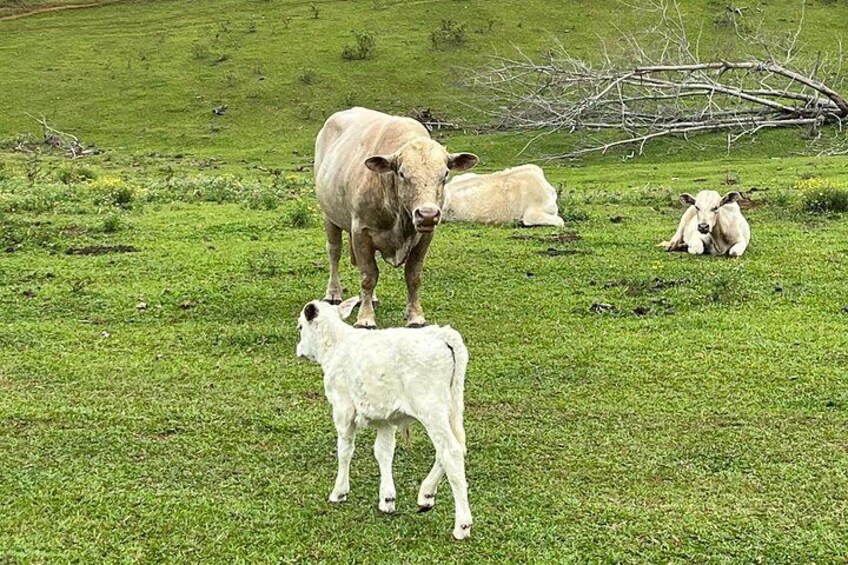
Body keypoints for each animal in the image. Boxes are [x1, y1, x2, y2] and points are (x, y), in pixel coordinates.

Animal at [314, 107, 478, 328]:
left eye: (444, 174)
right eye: (402, 173)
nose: (427, 214)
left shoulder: (425, 236)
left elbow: (413, 276)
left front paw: (415, 315)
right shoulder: (361, 231)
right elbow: (368, 276)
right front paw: (365, 318)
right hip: (329, 216)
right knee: (334, 252)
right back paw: (333, 293)